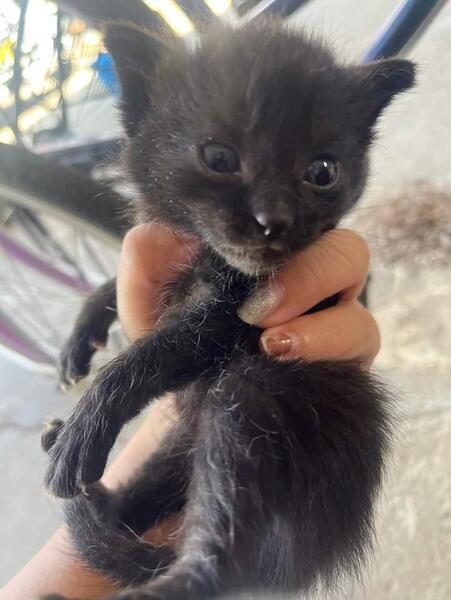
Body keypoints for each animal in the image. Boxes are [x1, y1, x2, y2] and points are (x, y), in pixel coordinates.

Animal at [43, 19, 415, 600]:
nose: (274, 220)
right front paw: (82, 334)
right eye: (218, 159)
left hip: (256, 397)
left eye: (322, 171)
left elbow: (161, 348)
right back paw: (101, 509)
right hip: (179, 447)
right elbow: (111, 285)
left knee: (225, 546)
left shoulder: (234, 319)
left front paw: (88, 419)